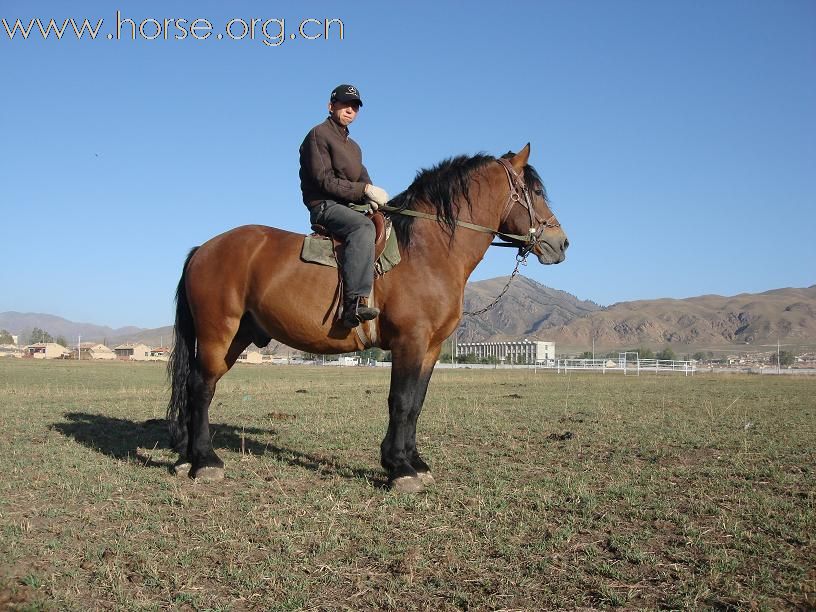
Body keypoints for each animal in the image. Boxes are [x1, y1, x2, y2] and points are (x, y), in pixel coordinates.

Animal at [167, 142, 568, 492]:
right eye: (533, 191)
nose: (561, 243)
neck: (426, 250)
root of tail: (204, 248)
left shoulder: (431, 348)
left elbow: (416, 404)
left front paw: (414, 461)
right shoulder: (409, 341)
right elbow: (401, 401)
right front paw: (400, 468)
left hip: (236, 338)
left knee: (199, 387)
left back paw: (188, 459)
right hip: (218, 334)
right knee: (201, 388)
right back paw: (206, 461)